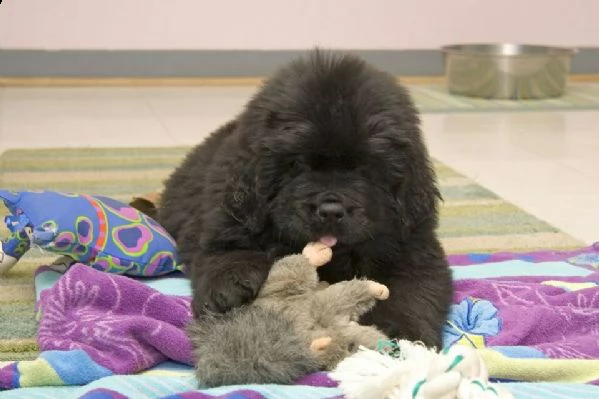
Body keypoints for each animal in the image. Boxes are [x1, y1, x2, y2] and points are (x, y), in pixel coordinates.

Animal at [157, 49, 452, 350]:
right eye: (297, 163)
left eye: (365, 168)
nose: (331, 210)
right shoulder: (227, 219)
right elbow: (228, 252)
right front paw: (228, 290)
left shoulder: (414, 246)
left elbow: (412, 292)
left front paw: (407, 337)